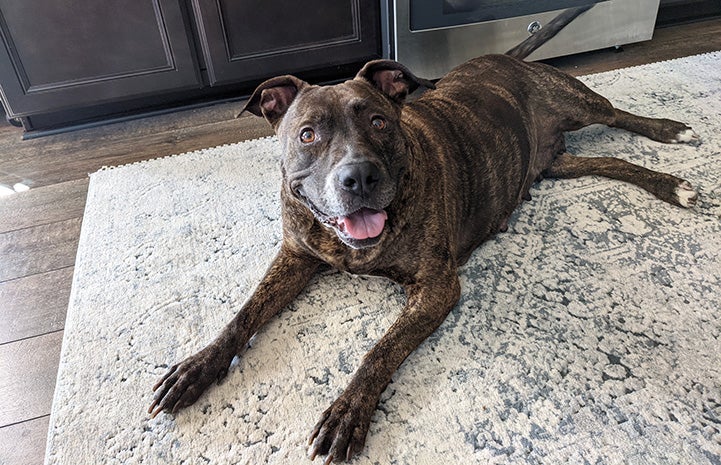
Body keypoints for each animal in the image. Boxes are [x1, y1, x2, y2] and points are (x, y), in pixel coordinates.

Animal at [150, 5, 696, 462]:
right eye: (307, 134)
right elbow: (243, 314)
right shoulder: (296, 256)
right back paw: (663, 181)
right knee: (610, 162)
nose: (358, 177)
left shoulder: (435, 287)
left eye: (378, 122)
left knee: (617, 115)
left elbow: (380, 350)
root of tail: (501, 55)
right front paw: (196, 368)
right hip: (557, 164)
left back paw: (671, 143)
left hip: (577, 102)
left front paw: (348, 411)